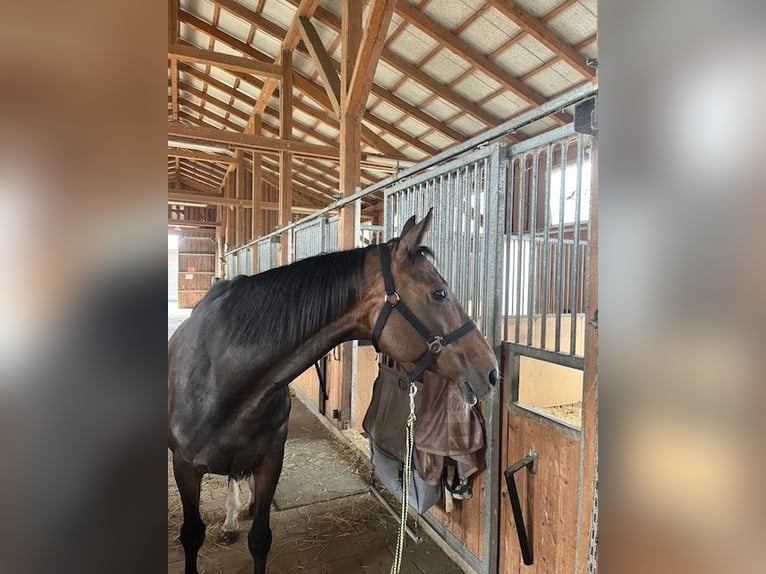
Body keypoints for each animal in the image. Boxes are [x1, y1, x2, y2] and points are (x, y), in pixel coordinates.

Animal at [170, 214, 498, 574]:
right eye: (439, 293)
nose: (492, 372)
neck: (221, 375)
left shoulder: (271, 461)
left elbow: (259, 539)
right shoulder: (184, 468)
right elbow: (192, 535)